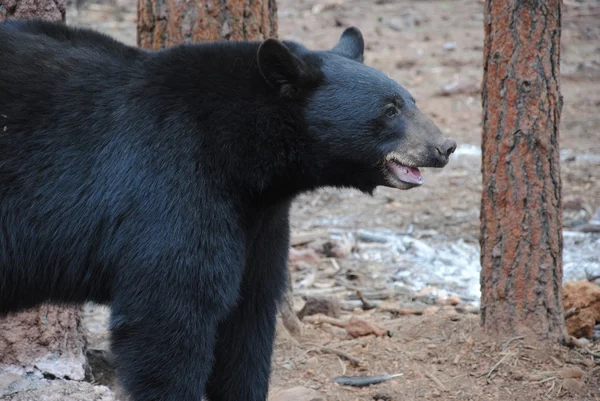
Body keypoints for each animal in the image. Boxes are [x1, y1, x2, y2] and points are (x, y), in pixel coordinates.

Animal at [0, 20, 458, 400]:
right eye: (389, 109)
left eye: (411, 100)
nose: (446, 146)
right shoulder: (172, 185)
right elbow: (170, 311)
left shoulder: (260, 222)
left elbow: (249, 316)